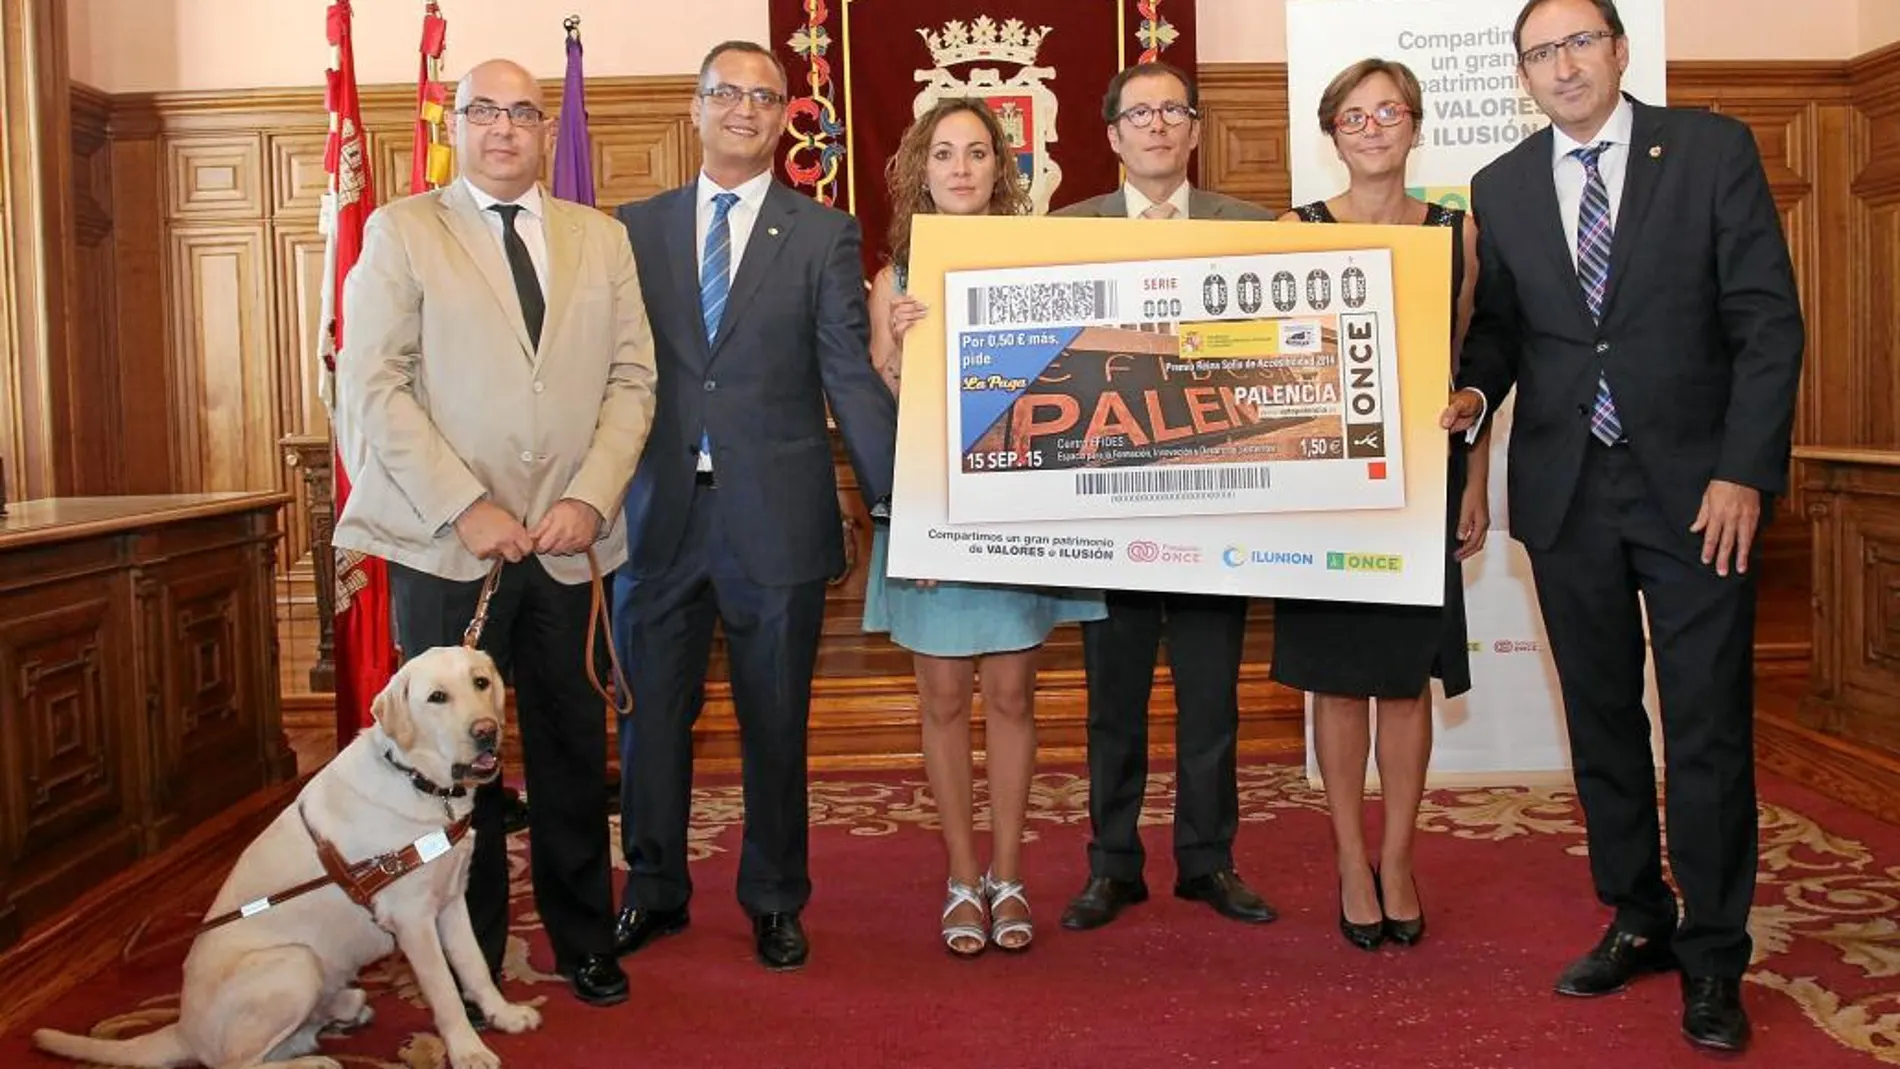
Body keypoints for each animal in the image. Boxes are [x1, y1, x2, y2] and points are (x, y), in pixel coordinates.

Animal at [35, 645, 543, 1069]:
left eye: (481, 682)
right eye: (437, 697)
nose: (487, 732)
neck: (418, 780)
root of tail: (182, 1029)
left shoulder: (451, 901)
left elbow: (473, 966)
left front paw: (504, 1015)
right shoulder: (413, 919)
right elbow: (444, 989)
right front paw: (468, 1051)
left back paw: (341, 1010)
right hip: (295, 964)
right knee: (232, 1064)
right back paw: (316, 1061)